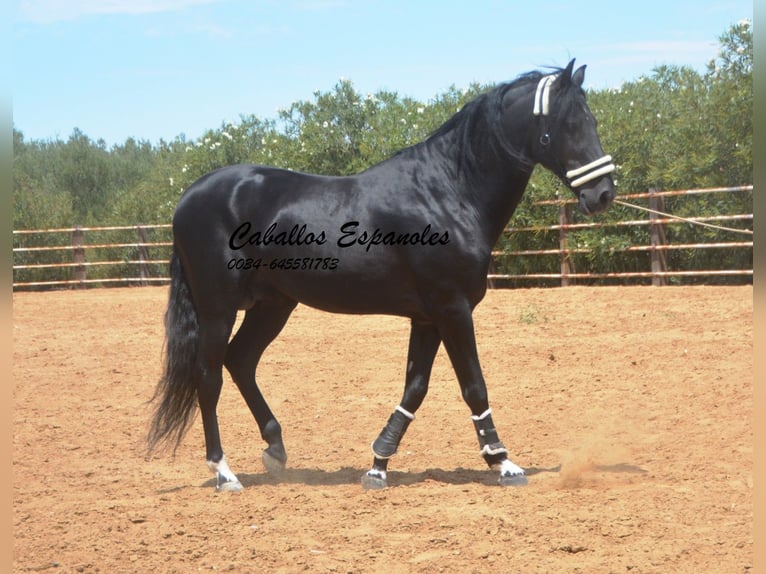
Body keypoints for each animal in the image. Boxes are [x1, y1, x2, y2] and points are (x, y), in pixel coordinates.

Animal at [148, 59, 616, 496]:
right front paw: (504, 463)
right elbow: (474, 386)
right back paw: (224, 472)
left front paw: (378, 465)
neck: (448, 191)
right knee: (209, 377)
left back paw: (275, 450)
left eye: (593, 120)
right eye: (571, 123)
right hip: (218, 309)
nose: (604, 193)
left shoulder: (428, 317)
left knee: (240, 360)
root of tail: (187, 199)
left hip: (273, 304)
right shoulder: (453, 309)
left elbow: (415, 389)